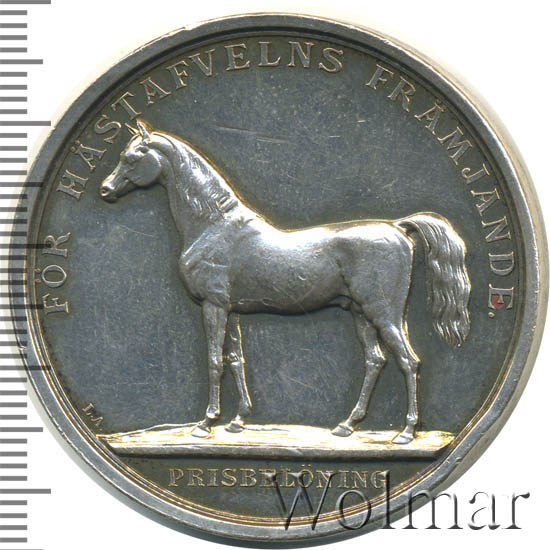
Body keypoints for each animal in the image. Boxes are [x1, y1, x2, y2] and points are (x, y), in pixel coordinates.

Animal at [100, 120, 471, 444]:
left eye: (131, 157)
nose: (105, 190)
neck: (213, 224)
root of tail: (397, 227)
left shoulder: (213, 305)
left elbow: (214, 360)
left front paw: (205, 424)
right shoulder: (232, 310)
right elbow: (235, 360)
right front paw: (238, 420)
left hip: (383, 313)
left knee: (408, 361)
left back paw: (406, 432)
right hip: (360, 314)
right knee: (375, 361)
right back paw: (346, 425)